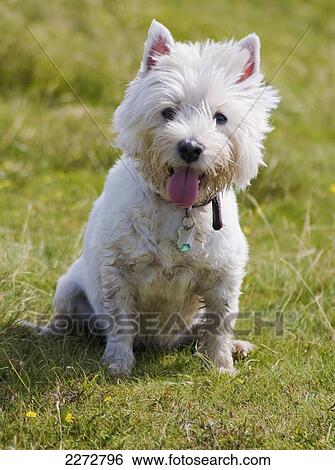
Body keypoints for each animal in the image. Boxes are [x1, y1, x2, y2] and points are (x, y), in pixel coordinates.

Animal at [34, 20, 280, 376]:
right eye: (168, 112)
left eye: (220, 117)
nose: (190, 148)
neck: (179, 210)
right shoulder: (117, 270)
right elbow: (121, 321)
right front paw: (118, 365)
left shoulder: (223, 276)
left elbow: (219, 324)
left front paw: (221, 367)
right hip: (67, 288)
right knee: (66, 319)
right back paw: (48, 333)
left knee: (199, 331)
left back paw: (238, 347)